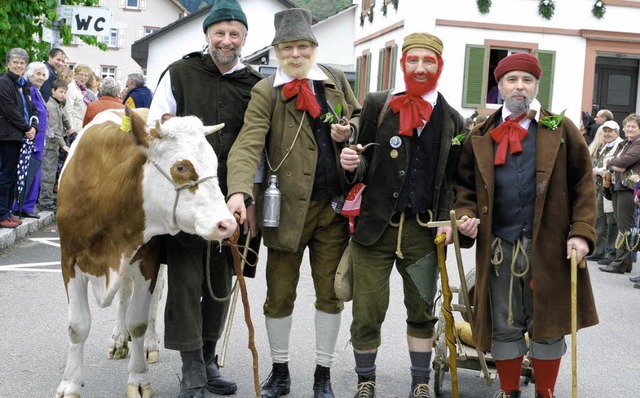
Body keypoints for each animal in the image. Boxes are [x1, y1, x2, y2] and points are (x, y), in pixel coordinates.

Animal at [53, 106, 236, 398]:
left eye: (213, 163)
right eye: (181, 167)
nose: (227, 223)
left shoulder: (147, 262)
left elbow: (138, 321)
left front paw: (138, 379)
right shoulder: (69, 260)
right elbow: (77, 326)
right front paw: (70, 383)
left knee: (150, 300)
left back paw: (149, 344)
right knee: (123, 296)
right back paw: (118, 340)